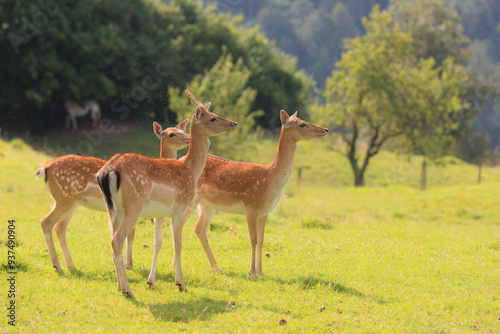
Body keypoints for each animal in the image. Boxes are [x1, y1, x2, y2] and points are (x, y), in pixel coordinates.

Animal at [35, 119, 190, 272]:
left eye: (181, 130)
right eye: (171, 134)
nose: (189, 137)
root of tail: (45, 168)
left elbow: (129, 234)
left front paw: (127, 263)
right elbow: (130, 234)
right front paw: (128, 264)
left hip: (70, 201)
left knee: (60, 228)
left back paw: (71, 265)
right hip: (65, 198)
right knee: (46, 222)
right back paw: (57, 265)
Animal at [97, 91, 238, 298]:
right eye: (212, 117)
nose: (233, 123)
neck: (190, 169)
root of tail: (107, 172)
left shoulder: (159, 213)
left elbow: (158, 242)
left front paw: (151, 282)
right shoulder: (180, 207)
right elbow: (177, 243)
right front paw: (180, 283)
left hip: (113, 208)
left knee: (112, 239)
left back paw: (119, 286)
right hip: (134, 206)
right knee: (117, 240)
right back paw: (129, 290)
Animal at [189, 109, 326, 276]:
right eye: (302, 124)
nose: (325, 129)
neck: (271, 179)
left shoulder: (265, 212)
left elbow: (261, 239)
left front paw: (261, 272)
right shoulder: (251, 206)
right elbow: (253, 239)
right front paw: (252, 272)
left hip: (208, 204)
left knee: (200, 229)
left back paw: (216, 267)